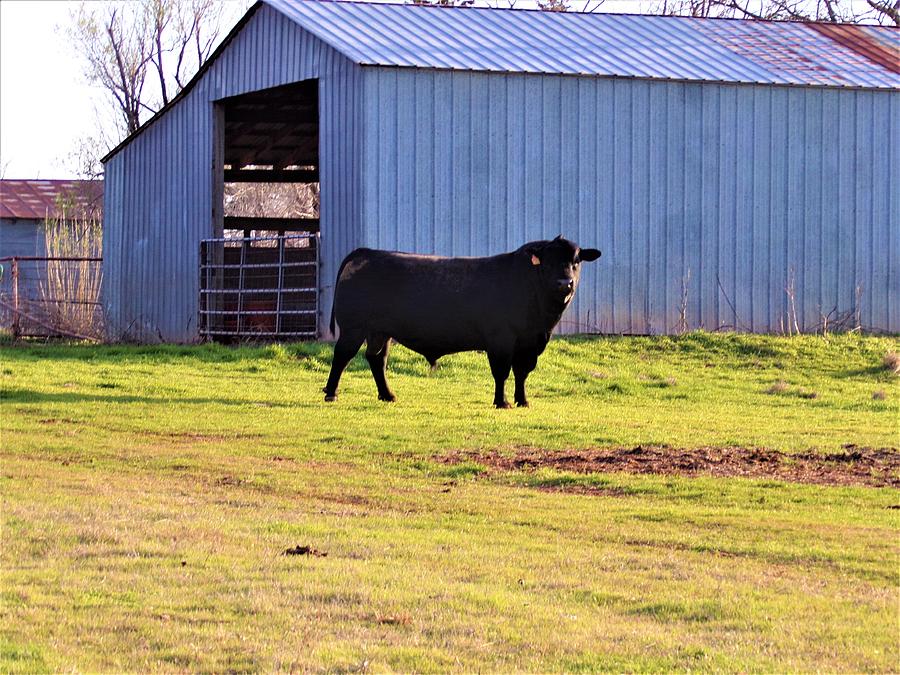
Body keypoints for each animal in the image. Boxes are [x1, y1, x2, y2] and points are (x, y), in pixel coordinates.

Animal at [320, 236, 600, 406]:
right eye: (548, 262)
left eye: (576, 261)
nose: (564, 283)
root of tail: (366, 253)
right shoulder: (501, 339)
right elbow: (502, 372)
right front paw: (502, 402)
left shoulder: (530, 342)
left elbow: (522, 373)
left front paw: (522, 401)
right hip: (353, 328)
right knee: (343, 356)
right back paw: (331, 393)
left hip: (380, 331)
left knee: (377, 359)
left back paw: (387, 395)